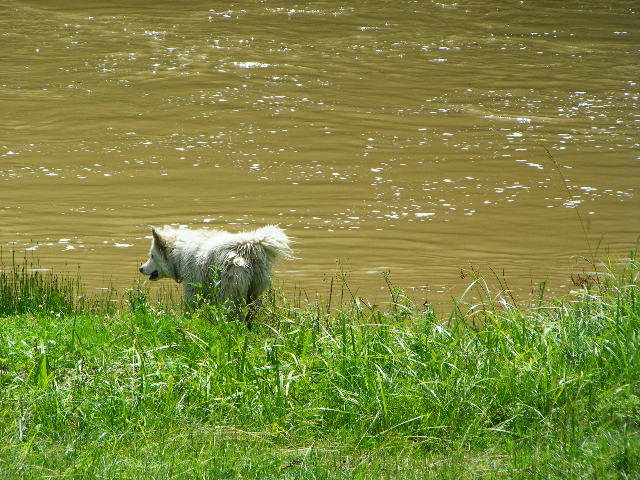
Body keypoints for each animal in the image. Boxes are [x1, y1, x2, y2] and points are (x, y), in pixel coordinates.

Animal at [140, 225, 292, 312]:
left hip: (228, 293)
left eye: (152, 256)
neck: (178, 253)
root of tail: (247, 245)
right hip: (253, 293)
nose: (140, 269)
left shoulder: (193, 290)